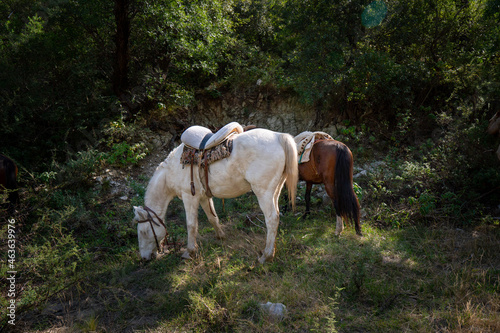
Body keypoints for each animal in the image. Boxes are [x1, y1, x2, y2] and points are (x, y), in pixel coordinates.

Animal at [131, 128, 298, 264]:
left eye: (143, 232)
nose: (144, 258)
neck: (172, 171)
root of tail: (278, 136)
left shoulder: (189, 197)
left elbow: (191, 224)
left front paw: (189, 252)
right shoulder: (204, 197)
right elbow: (213, 218)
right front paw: (221, 236)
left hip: (263, 192)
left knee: (271, 219)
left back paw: (266, 255)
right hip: (274, 191)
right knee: (276, 216)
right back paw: (271, 251)